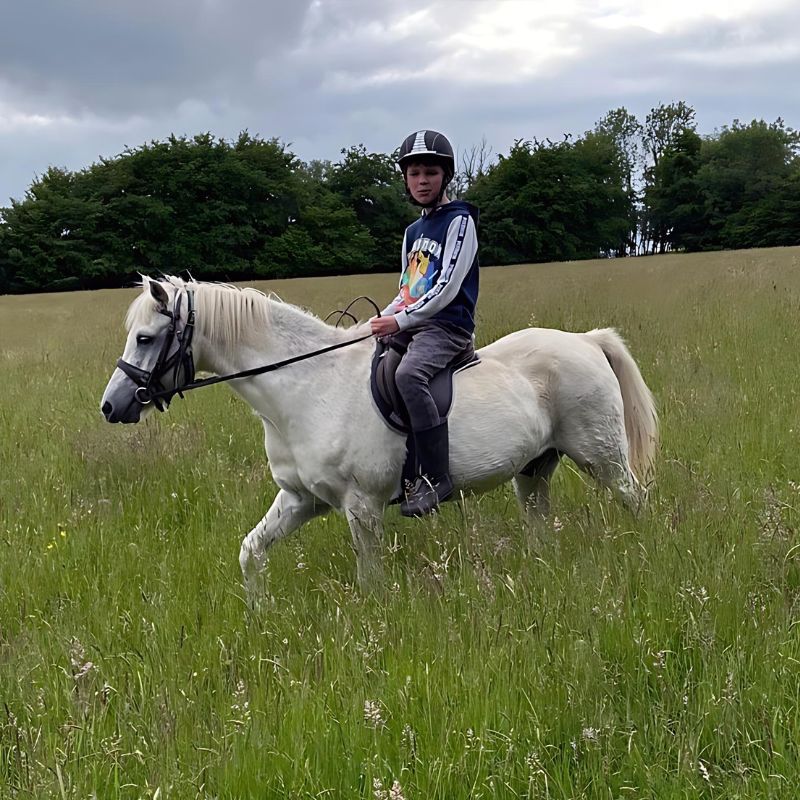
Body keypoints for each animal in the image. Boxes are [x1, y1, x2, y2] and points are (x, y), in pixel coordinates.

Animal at [101, 276, 658, 589]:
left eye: (145, 338)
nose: (112, 406)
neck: (307, 386)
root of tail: (585, 340)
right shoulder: (300, 499)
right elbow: (251, 552)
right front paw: (260, 613)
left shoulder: (361, 506)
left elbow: (370, 580)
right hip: (534, 471)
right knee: (542, 521)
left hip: (602, 458)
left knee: (634, 499)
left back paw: (642, 555)